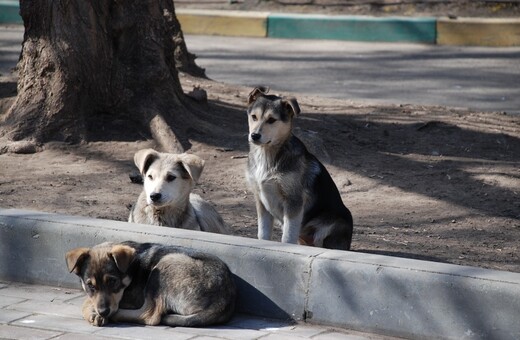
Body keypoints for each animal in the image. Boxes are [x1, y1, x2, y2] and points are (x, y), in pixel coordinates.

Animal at [66, 240, 237, 328]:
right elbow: (89, 299)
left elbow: (86, 302)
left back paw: (116, 316)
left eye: (113, 281)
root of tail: (223, 302)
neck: (131, 269)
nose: (103, 312)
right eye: (91, 286)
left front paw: (93, 313)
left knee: (150, 315)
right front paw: (95, 313)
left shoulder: (131, 298)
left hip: (166, 264)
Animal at [245, 87, 354, 250]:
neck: (267, 155)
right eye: (254, 117)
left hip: (331, 223)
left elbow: (288, 236)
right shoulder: (261, 200)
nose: (254, 135)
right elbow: (263, 234)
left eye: (271, 120)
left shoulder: (293, 202)